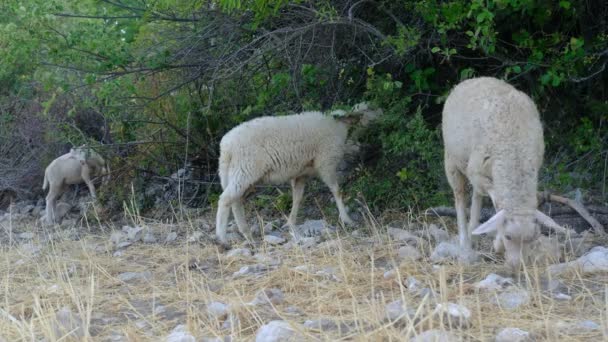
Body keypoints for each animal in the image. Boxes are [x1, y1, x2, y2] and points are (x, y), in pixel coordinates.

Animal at [216, 103, 382, 244]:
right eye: (368, 109)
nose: (382, 114)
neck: (339, 127)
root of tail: (226, 147)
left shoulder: (302, 174)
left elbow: (297, 198)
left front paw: (291, 223)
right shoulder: (326, 162)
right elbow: (336, 191)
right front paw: (347, 219)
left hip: (236, 174)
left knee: (236, 202)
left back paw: (247, 235)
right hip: (245, 170)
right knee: (225, 199)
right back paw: (222, 239)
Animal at [442, 77, 564, 270]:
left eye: (533, 238)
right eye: (508, 236)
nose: (517, 266)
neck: (515, 154)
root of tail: (476, 78)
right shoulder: (476, 170)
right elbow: (497, 202)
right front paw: (498, 244)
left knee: (477, 195)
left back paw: (473, 233)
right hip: (452, 161)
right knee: (460, 197)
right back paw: (465, 242)